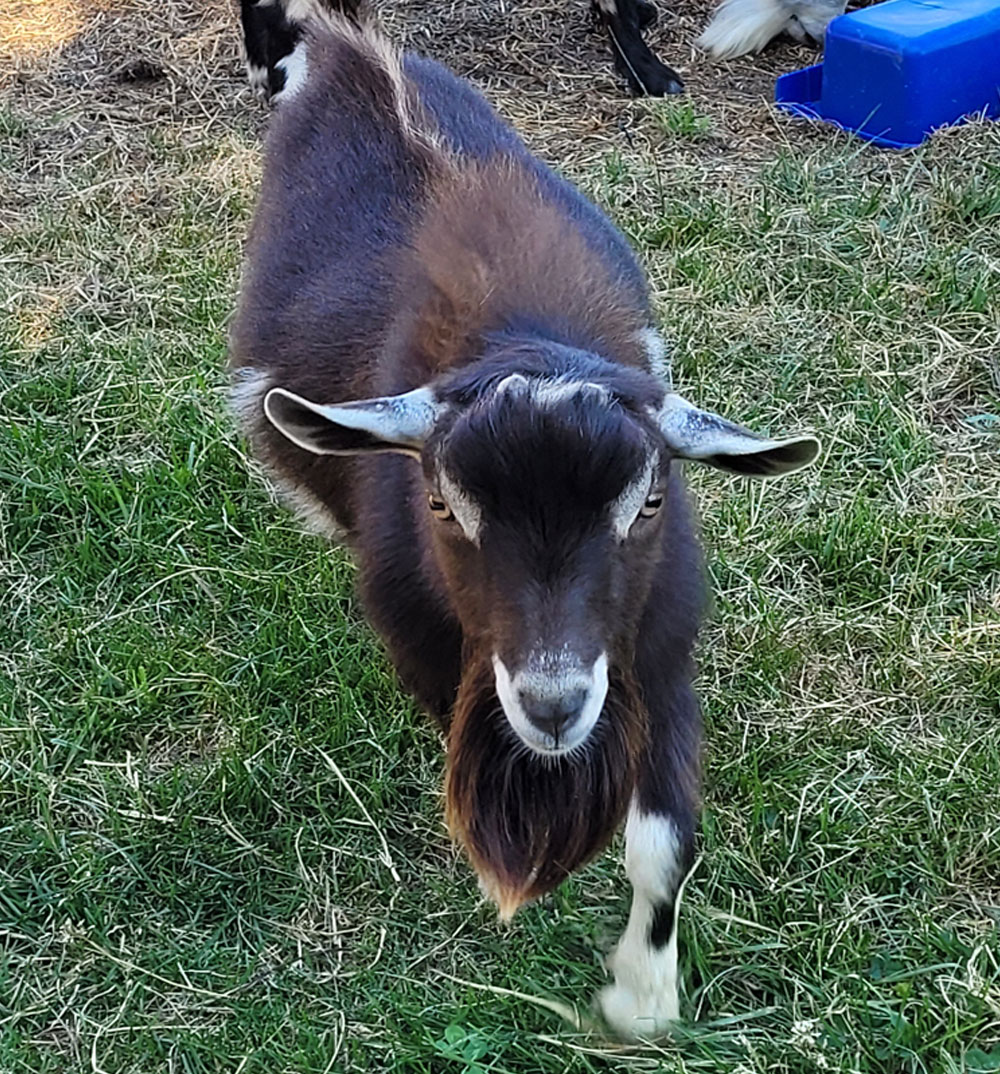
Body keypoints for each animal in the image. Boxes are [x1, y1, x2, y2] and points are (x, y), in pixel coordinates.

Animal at [229, 11, 819, 1038]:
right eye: (440, 503)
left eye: (649, 502)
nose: (553, 705)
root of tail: (349, 47)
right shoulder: (436, 647)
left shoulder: (658, 643)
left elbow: (667, 842)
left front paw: (641, 999)